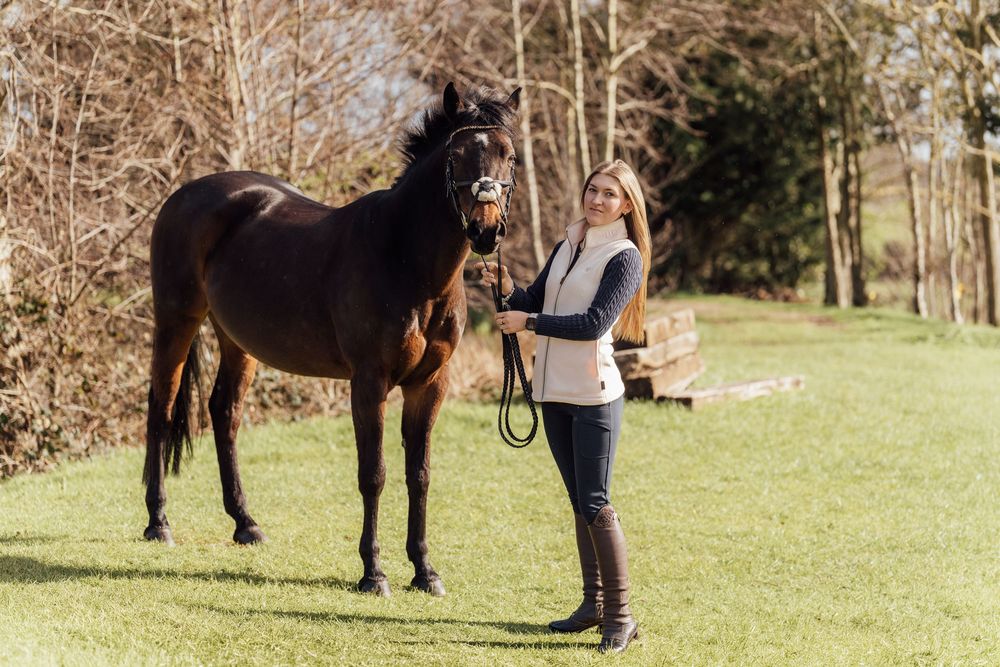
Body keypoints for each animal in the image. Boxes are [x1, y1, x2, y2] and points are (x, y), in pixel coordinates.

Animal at [143, 83, 520, 597]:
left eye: (509, 156)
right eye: (456, 156)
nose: (486, 230)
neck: (406, 258)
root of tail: (182, 195)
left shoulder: (430, 384)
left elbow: (419, 475)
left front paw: (425, 571)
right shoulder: (369, 383)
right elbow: (374, 474)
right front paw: (373, 573)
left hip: (237, 340)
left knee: (224, 411)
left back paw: (246, 523)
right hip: (176, 320)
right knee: (161, 410)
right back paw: (158, 523)